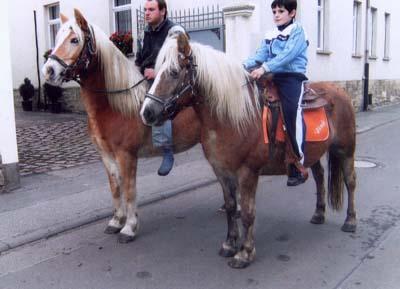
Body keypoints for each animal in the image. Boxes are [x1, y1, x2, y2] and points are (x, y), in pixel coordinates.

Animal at [41, 9, 202, 242]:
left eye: (74, 40)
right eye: (57, 37)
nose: (49, 70)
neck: (114, 105)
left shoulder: (126, 155)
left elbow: (129, 189)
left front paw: (129, 227)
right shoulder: (107, 155)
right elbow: (115, 187)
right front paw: (117, 221)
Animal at [140, 34, 356, 268]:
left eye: (173, 72)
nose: (146, 112)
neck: (232, 118)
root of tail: (340, 92)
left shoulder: (248, 172)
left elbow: (247, 212)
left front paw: (245, 253)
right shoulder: (222, 171)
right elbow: (231, 207)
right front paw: (229, 245)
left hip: (346, 151)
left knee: (350, 182)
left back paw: (350, 221)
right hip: (313, 154)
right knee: (319, 177)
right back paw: (318, 213)